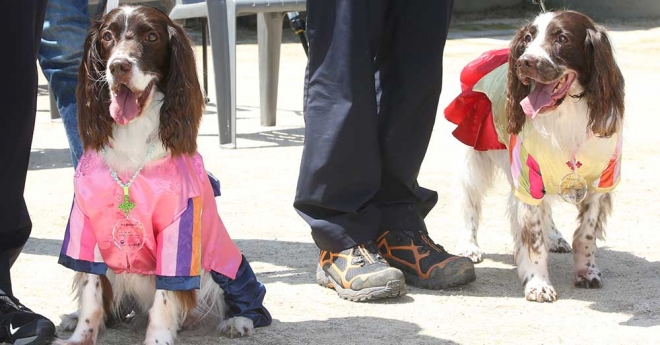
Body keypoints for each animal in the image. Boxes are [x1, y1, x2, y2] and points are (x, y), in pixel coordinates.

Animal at [54, 5, 270, 344]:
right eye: (107, 36)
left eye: (152, 37)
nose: (118, 66)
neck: (132, 136)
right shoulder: (85, 224)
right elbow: (90, 288)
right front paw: (81, 334)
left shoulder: (178, 228)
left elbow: (166, 296)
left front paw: (157, 338)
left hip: (227, 268)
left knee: (245, 297)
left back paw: (239, 320)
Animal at [446, 10, 628, 300]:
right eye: (528, 38)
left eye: (562, 38)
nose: (526, 61)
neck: (566, 113)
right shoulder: (526, 179)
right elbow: (533, 237)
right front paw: (538, 284)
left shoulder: (602, 180)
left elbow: (586, 233)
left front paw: (586, 272)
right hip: (473, 158)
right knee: (469, 203)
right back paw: (469, 246)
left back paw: (555, 237)